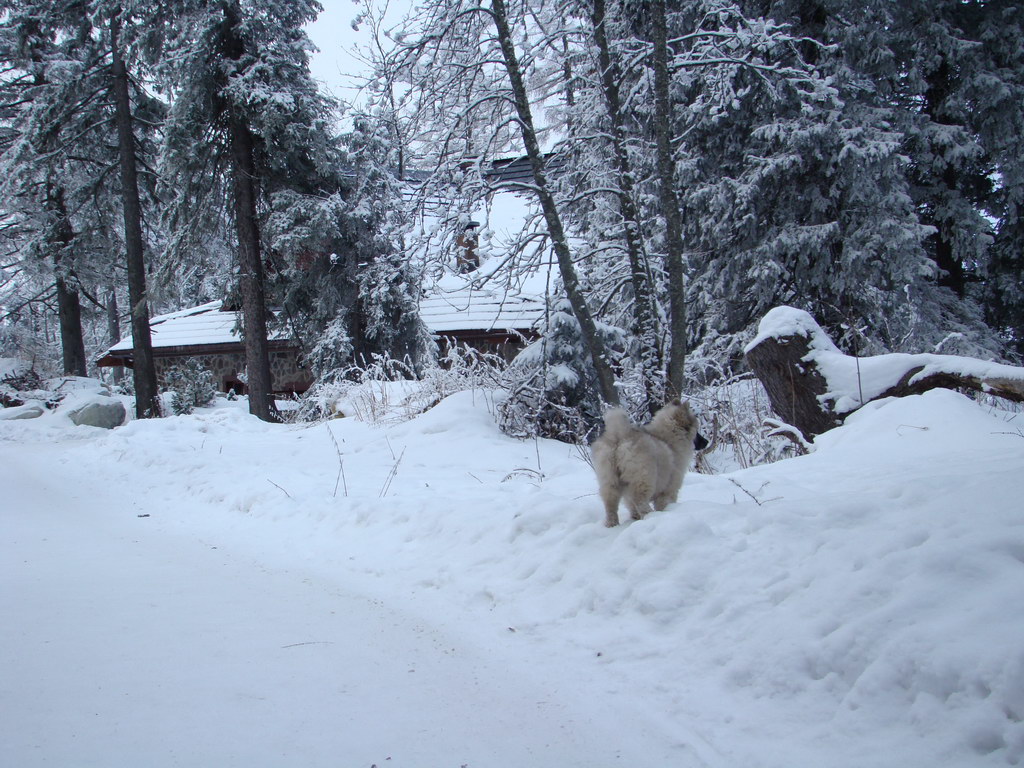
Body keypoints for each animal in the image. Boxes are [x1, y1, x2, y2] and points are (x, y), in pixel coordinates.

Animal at [593, 399, 704, 528]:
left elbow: (630, 505)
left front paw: (635, 517)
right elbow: (665, 502)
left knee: (610, 504)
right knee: (639, 500)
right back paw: (650, 515)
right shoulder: (669, 488)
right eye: (697, 431)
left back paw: (612, 524)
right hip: (644, 477)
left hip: (609, 480)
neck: (668, 439)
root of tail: (619, 435)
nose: (706, 441)